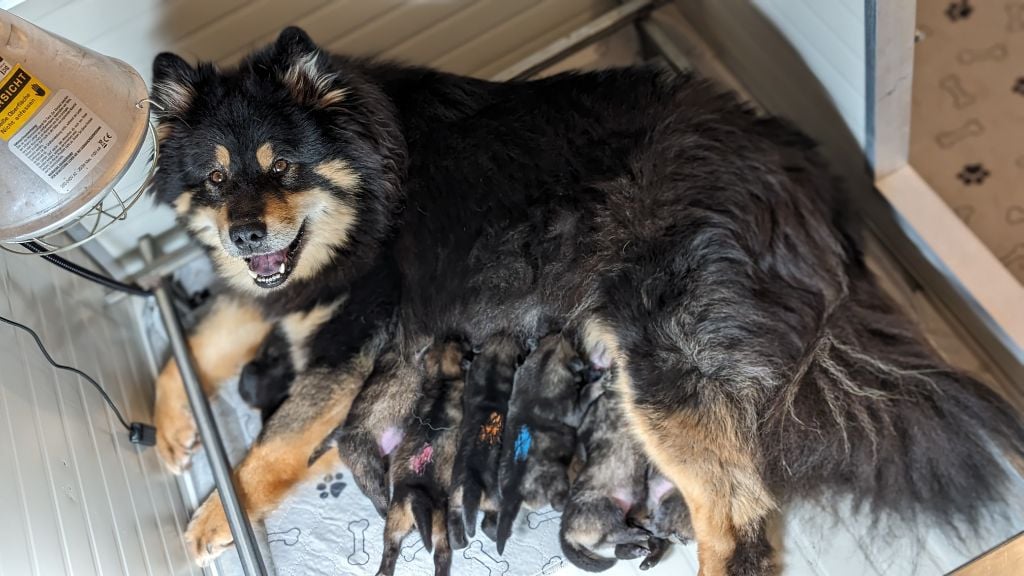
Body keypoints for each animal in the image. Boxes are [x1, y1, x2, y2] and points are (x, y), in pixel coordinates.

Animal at [378, 336, 468, 573]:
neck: (442, 382)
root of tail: (414, 497)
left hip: (393, 523)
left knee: (389, 552)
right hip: (440, 529)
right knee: (442, 557)